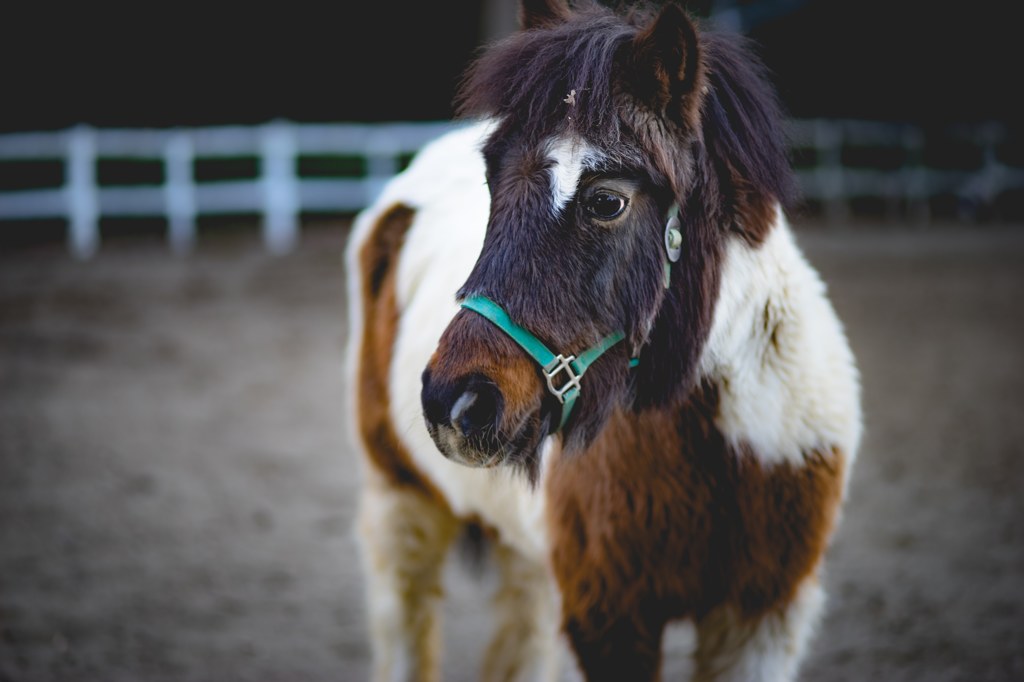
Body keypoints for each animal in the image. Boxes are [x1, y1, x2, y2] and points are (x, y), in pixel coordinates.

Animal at [344, 2, 856, 675]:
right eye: (492, 183)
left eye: (607, 201)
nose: (454, 402)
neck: (722, 445)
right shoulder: (610, 618)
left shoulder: (764, 615)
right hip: (399, 501)